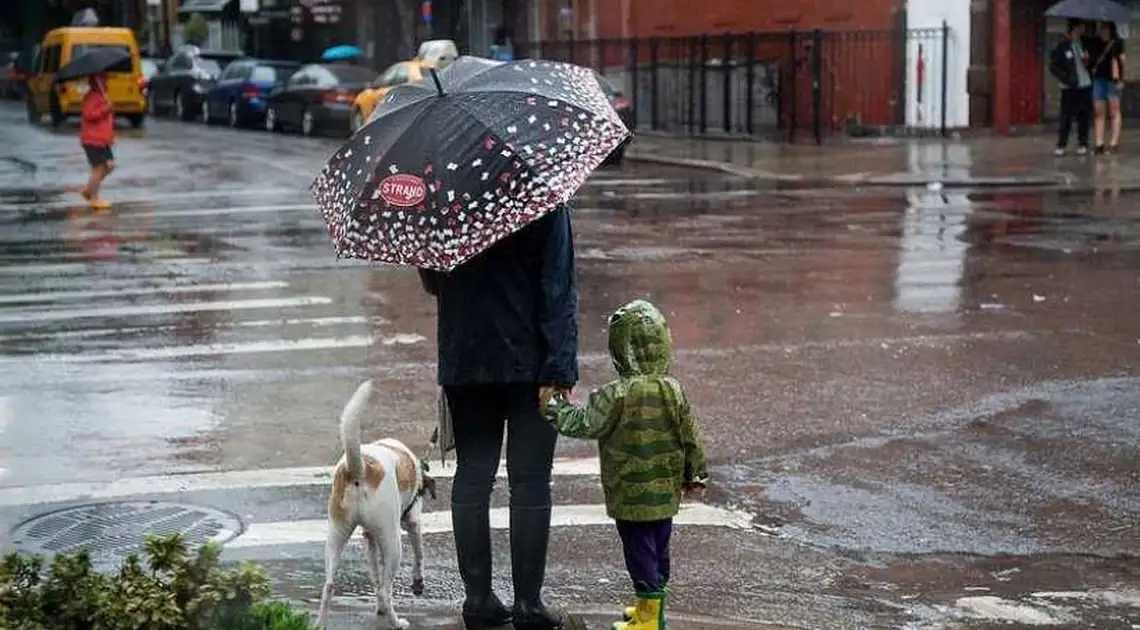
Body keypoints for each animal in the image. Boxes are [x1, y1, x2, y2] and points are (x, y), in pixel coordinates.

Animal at [316, 380, 435, 624]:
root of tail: (360, 467)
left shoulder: (368, 537)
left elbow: (375, 572)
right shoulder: (413, 522)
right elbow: (419, 554)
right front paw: (418, 582)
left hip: (336, 534)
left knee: (329, 585)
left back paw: (319, 624)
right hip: (393, 541)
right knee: (385, 591)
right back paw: (397, 622)